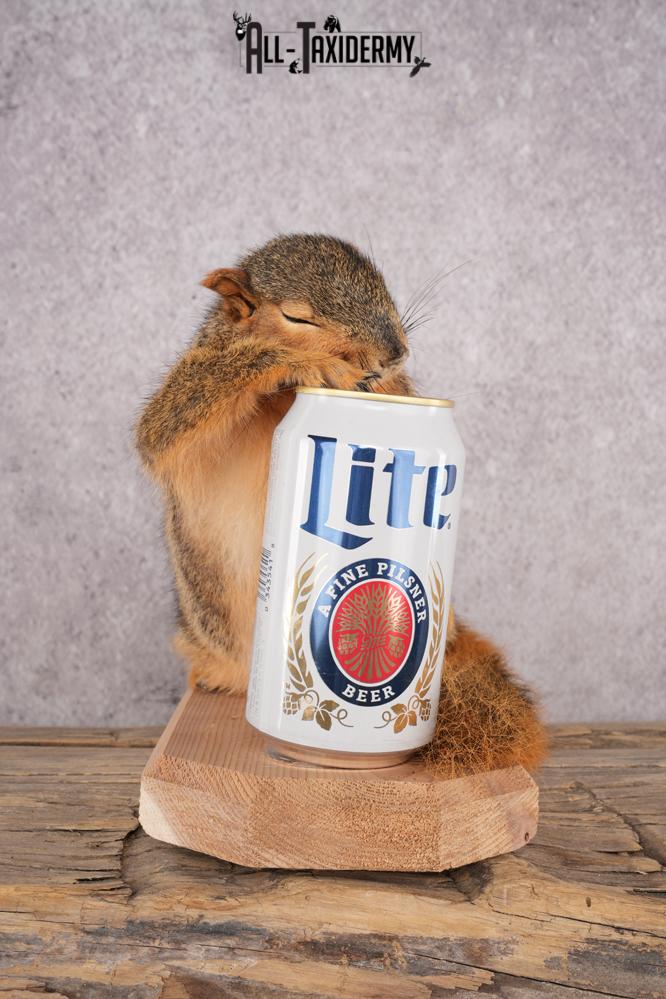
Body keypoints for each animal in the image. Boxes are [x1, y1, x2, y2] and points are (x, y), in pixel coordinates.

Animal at [136, 233, 547, 778]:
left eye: (382, 285)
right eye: (297, 318)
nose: (395, 352)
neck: (278, 403)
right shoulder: (187, 407)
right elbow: (162, 430)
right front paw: (298, 363)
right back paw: (217, 676)